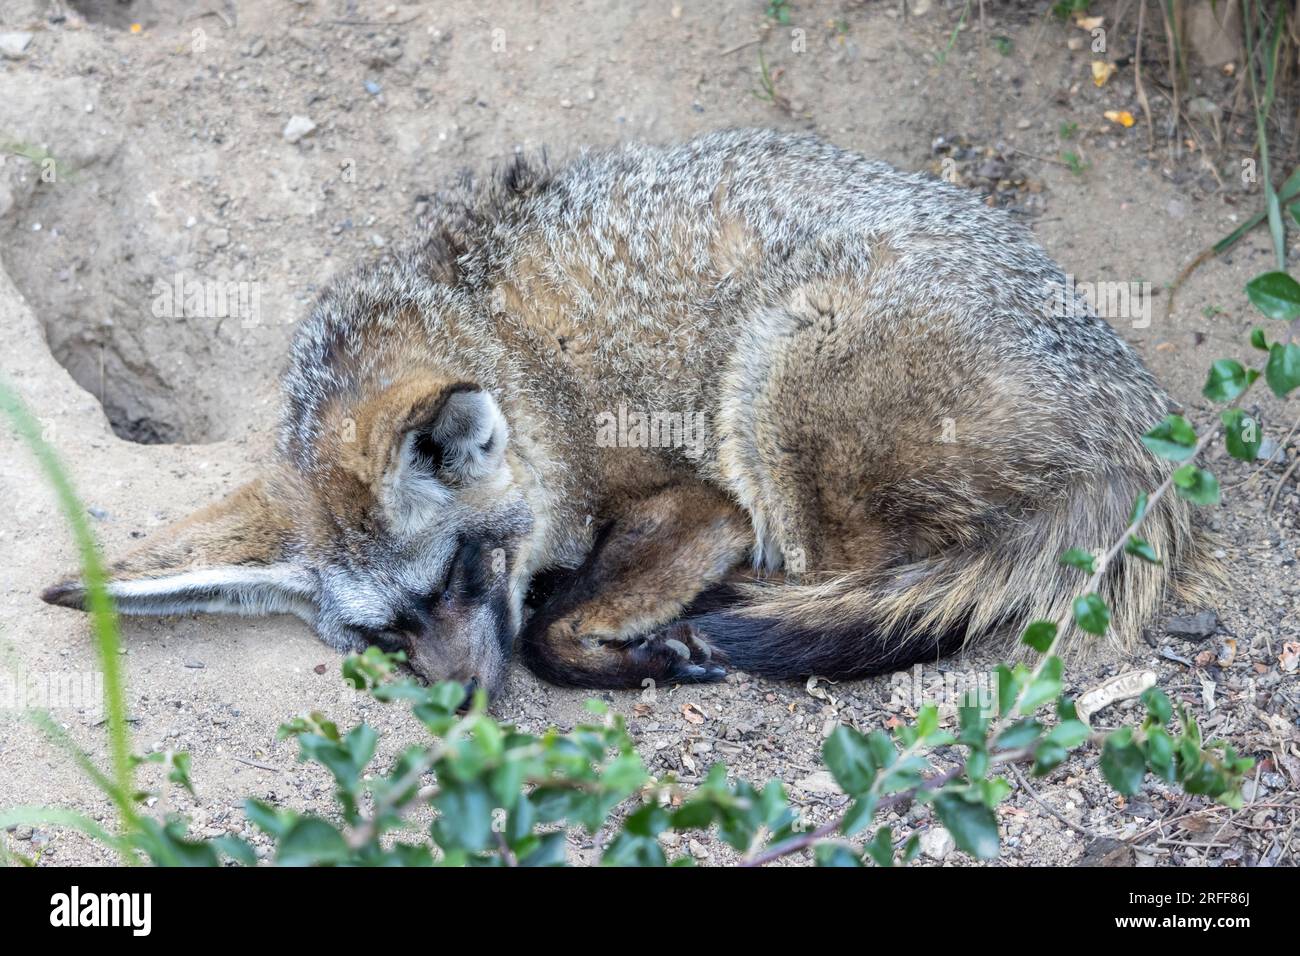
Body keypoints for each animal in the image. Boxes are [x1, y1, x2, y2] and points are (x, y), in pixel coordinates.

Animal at [40, 128, 1216, 697]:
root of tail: (1136, 424)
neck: (516, 360)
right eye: (380, 637)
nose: (458, 704)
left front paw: (635, 648)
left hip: (774, 385)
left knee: (859, 588)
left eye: (459, 575)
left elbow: (544, 630)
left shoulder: (698, 501)